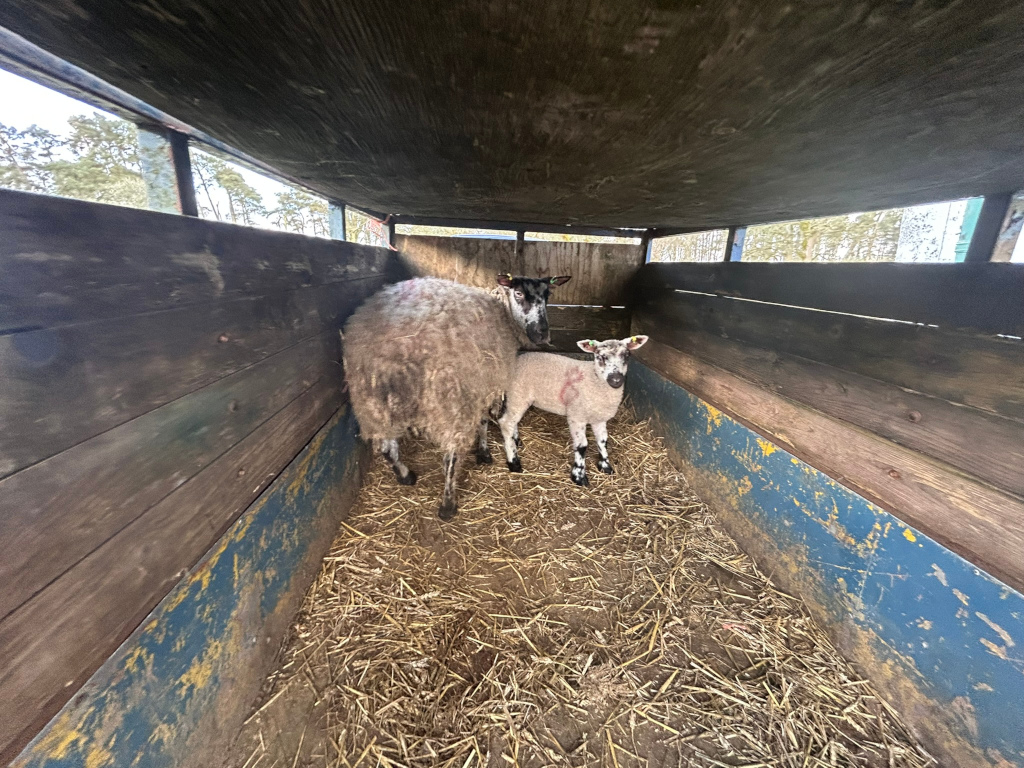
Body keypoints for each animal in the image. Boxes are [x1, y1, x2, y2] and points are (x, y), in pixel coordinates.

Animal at [342, 274, 571, 520]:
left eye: (548, 295)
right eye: (518, 293)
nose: (542, 334)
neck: (503, 311)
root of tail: (395, 350)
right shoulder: (484, 383)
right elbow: (485, 421)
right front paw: (484, 452)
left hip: (372, 401)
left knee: (386, 447)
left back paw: (406, 476)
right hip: (451, 400)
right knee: (450, 456)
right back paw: (447, 504)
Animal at [498, 335, 649, 486]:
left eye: (627, 355)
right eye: (600, 356)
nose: (616, 380)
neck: (593, 379)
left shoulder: (599, 418)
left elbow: (603, 441)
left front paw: (605, 466)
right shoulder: (576, 416)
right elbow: (582, 446)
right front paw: (579, 476)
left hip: (516, 397)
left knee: (512, 421)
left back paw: (516, 440)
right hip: (518, 394)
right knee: (506, 423)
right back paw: (513, 462)